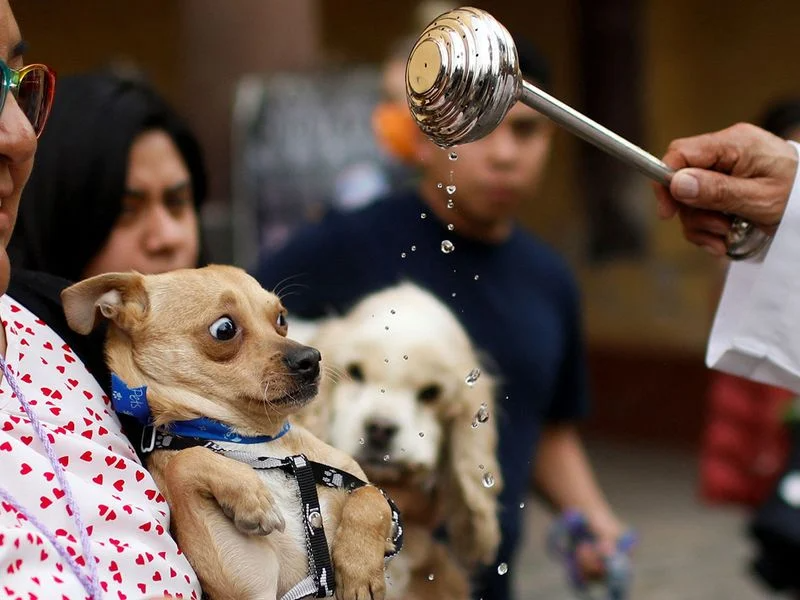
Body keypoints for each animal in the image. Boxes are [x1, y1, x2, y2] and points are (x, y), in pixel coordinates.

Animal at [62, 268, 400, 600]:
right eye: (224, 329)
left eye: (281, 318)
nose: (311, 358)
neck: (260, 444)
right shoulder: (250, 587)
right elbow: (186, 460)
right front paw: (250, 496)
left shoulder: (354, 480)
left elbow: (374, 497)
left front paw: (358, 567)